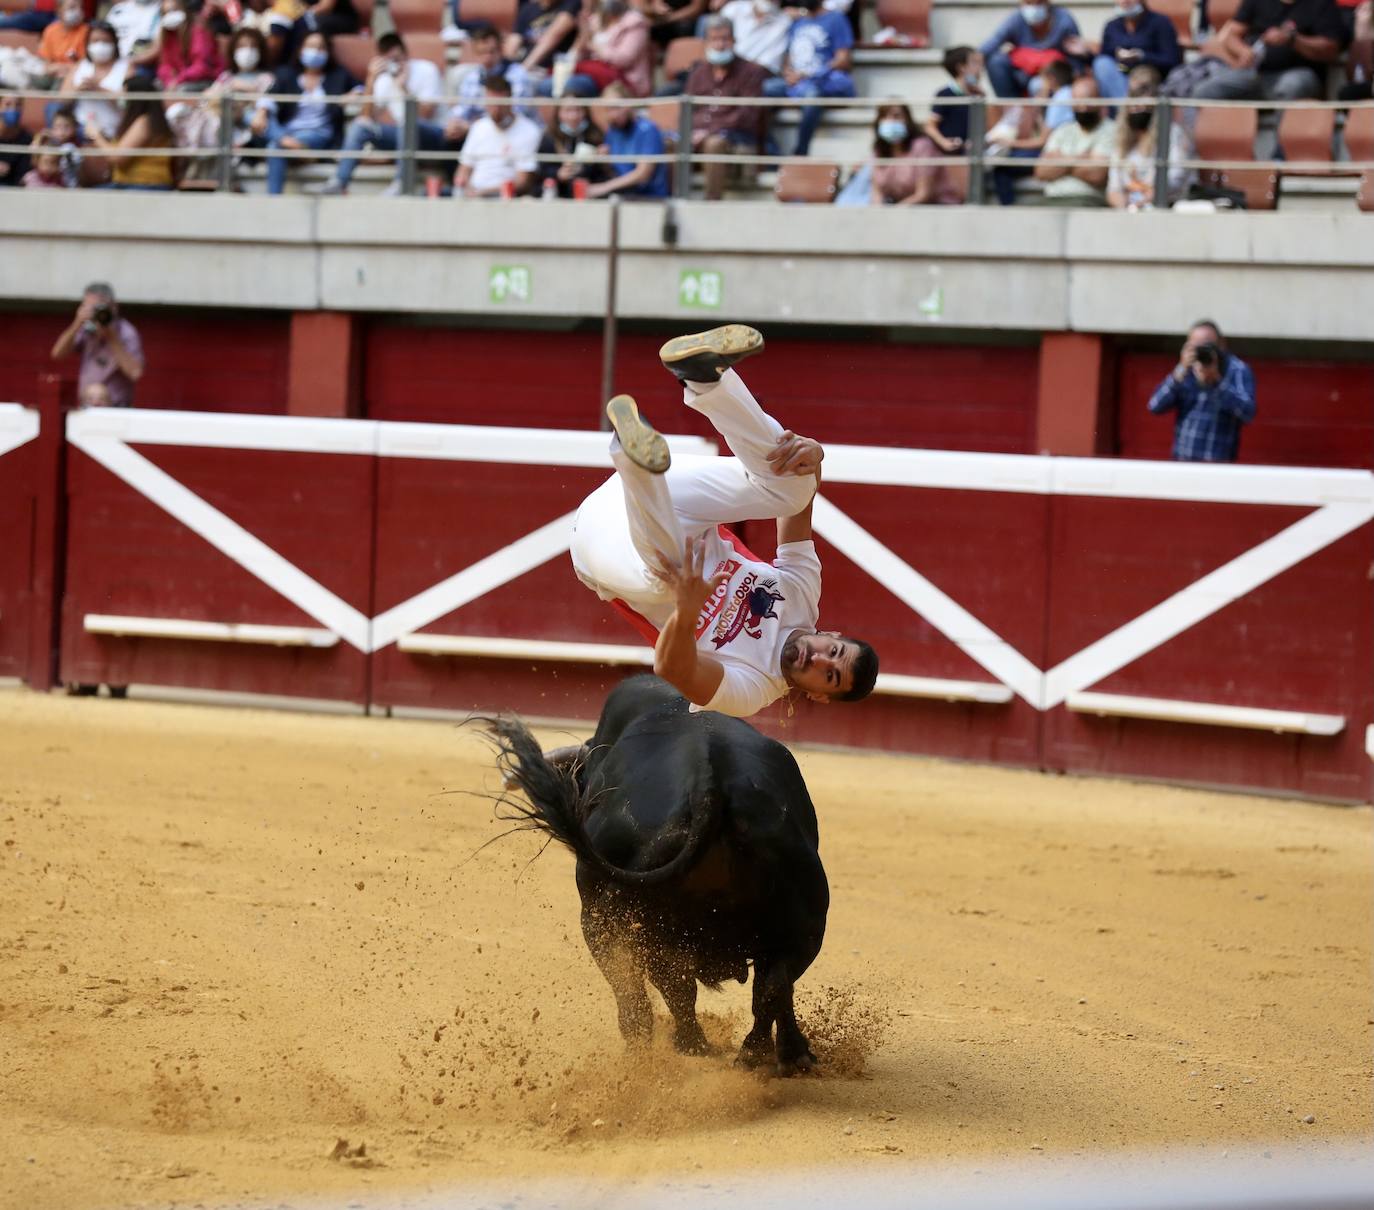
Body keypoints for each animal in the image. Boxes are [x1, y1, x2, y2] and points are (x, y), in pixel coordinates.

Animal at [489, 670, 824, 1076]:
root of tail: (709, 785)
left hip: (608, 921)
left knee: (664, 990)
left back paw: (677, 1047)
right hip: (805, 922)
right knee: (772, 986)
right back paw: (760, 1056)